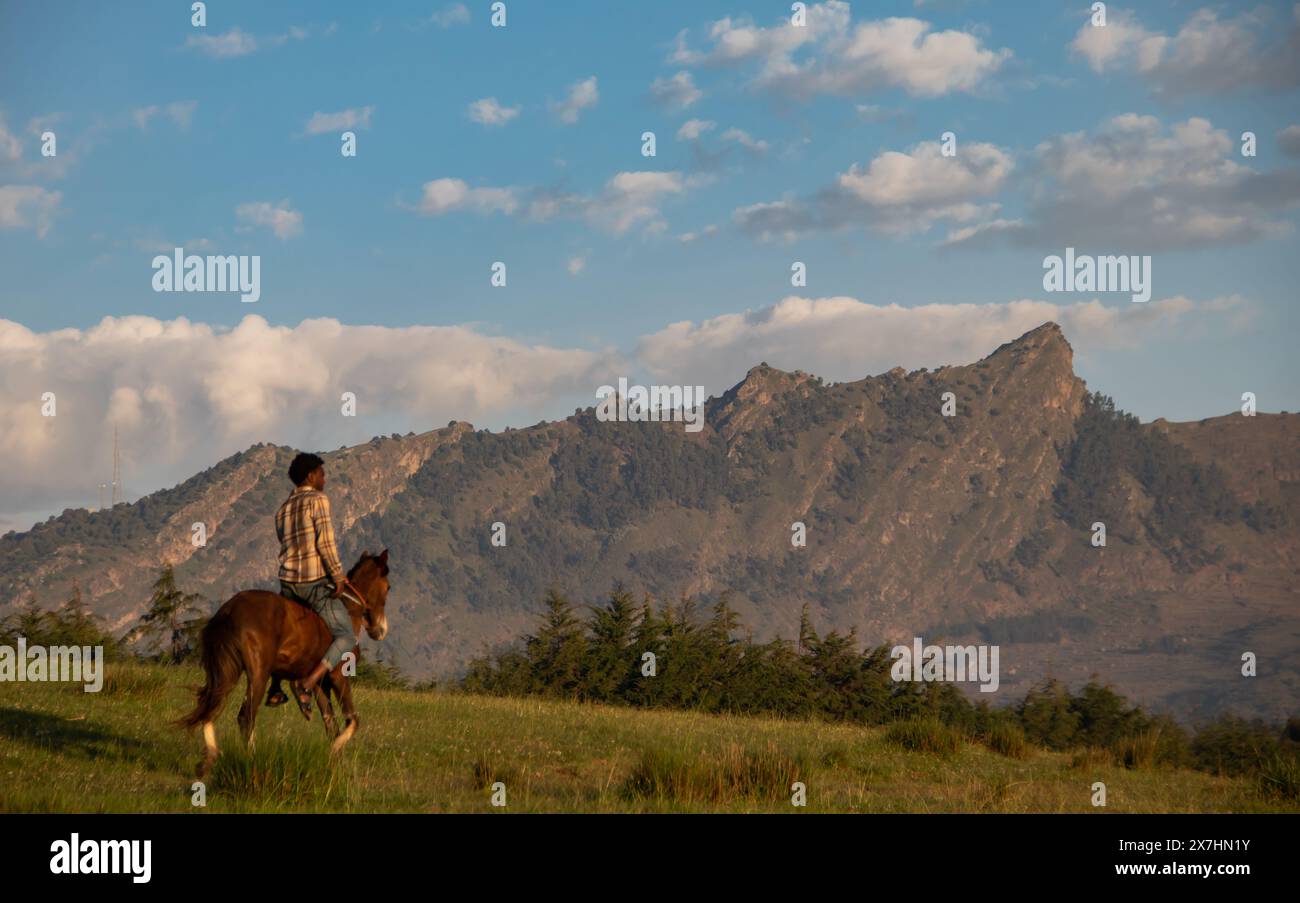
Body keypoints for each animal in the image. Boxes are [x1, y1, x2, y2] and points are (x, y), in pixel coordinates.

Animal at [178, 550, 390, 779]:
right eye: (388, 587)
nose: (380, 630)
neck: (349, 610)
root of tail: (229, 610)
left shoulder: (319, 684)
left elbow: (331, 724)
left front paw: (334, 764)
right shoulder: (338, 675)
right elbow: (352, 720)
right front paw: (334, 752)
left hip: (225, 669)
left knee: (210, 705)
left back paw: (208, 760)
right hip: (258, 673)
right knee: (245, 716)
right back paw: (251, 763)